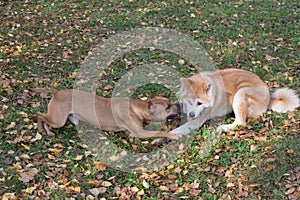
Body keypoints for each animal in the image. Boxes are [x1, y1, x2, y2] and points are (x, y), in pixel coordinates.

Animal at [29, 88, 182, 140]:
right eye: (168, 107)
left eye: (169, 101)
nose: (180, 104)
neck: (139, 107)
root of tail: (57, 92)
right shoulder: (139, 133)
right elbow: (159, 132)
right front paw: (174, 135)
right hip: (58, 120)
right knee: (39, 114)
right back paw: (42, 129)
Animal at [170, 68, 298, 135]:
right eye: (189, 101)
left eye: (200, 103)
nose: (191, 115)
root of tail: (269, 96)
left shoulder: (195, 121)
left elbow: (175, 131)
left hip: (240, 93)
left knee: (240, 122)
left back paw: (223, 127)